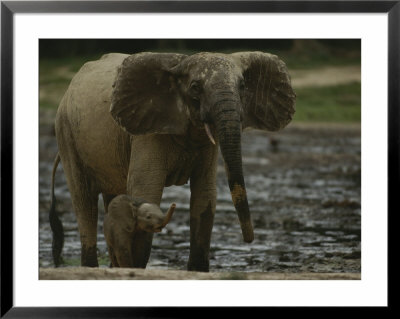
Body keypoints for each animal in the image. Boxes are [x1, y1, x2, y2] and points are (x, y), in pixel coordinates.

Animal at [50, 50, 296, 272]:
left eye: (243, 86)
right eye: (195, 87)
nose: (249, 239)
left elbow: (205, 195)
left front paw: (197, 272)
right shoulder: (147, 131)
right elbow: (146, 190)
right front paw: (137, 268)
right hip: (65, 131)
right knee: (84, 201)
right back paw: (91, 266)